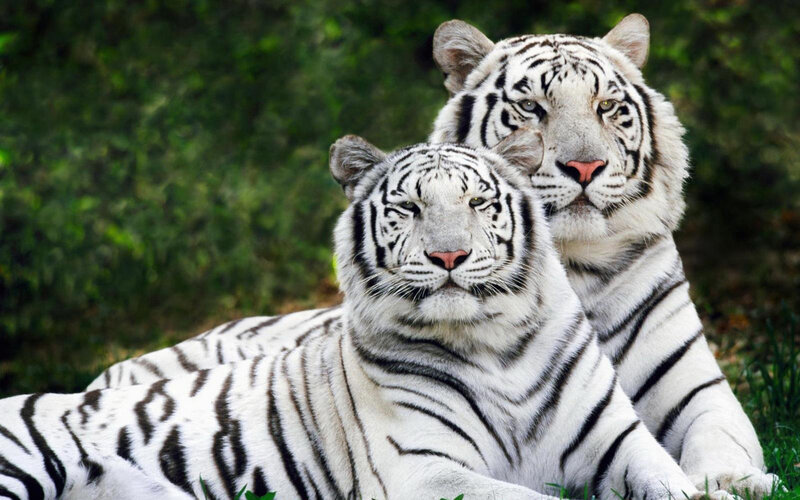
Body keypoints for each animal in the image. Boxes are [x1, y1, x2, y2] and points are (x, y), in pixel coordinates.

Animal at [0, 133, 735, 500]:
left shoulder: (620, 442)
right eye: (409, 208)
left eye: (478, 203)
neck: (495, 344)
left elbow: (677, 485)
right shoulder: (424, 470)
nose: (448, 255)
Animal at [88, 14, 780, 497]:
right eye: (531, 107)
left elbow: (720, 441)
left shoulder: (698, 391)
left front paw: (741, 483)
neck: (574, 266)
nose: (584, 167)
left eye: (608, 107)